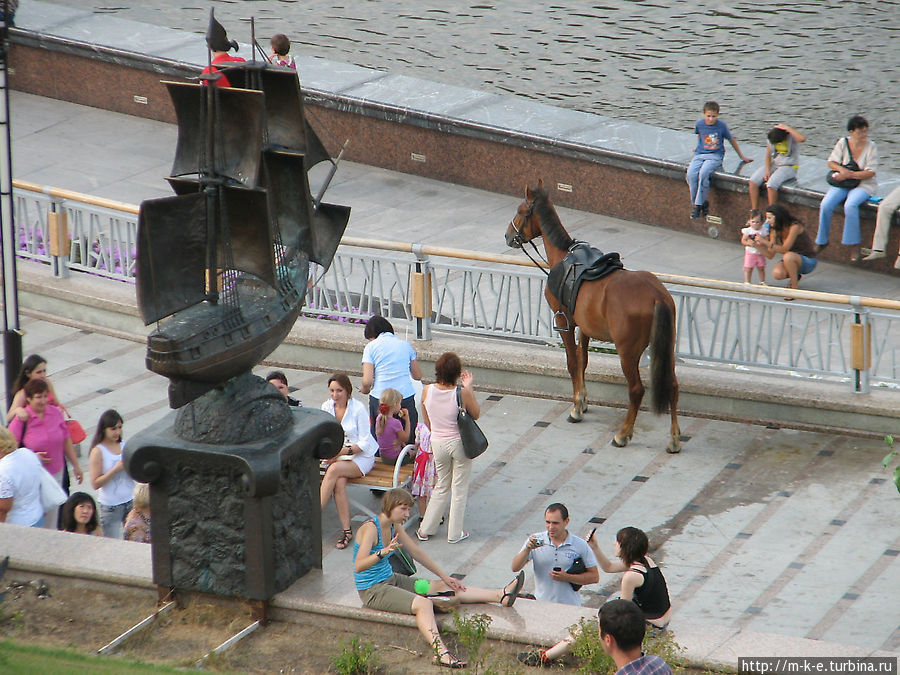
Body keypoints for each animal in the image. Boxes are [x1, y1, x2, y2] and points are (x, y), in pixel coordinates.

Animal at [506, 182, 684, 454]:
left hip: (627, 352)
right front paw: (583, 400)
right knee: (672, 386)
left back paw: (623, 434)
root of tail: (656, 295)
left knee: (636, 390)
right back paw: (673, 438)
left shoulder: (565, 322)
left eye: (521, 210)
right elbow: (583, 361)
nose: (508, 236)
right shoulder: (585, 328)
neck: (563, 256)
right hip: (665, 346)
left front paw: (576, 408)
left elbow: (572, 363)